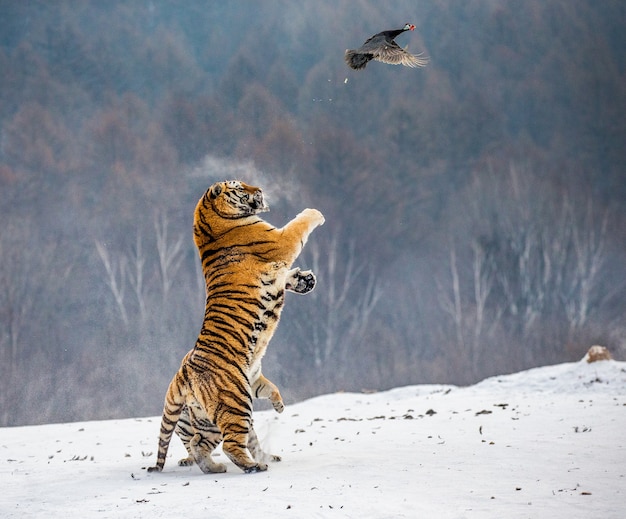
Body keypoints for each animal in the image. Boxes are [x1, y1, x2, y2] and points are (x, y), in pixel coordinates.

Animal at [146, 180, 322, 476]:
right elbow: (300, 223)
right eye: (240, 187)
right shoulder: (281, 242)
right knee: (227, 444)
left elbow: (271, 387)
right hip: (236, 400)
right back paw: (254, 466)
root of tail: (185, 372)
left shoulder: (256, 378)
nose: (259, 188)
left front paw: (304, 280)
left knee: (199, 442)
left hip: (210, 418)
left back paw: (217, 468)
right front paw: (316, 212)